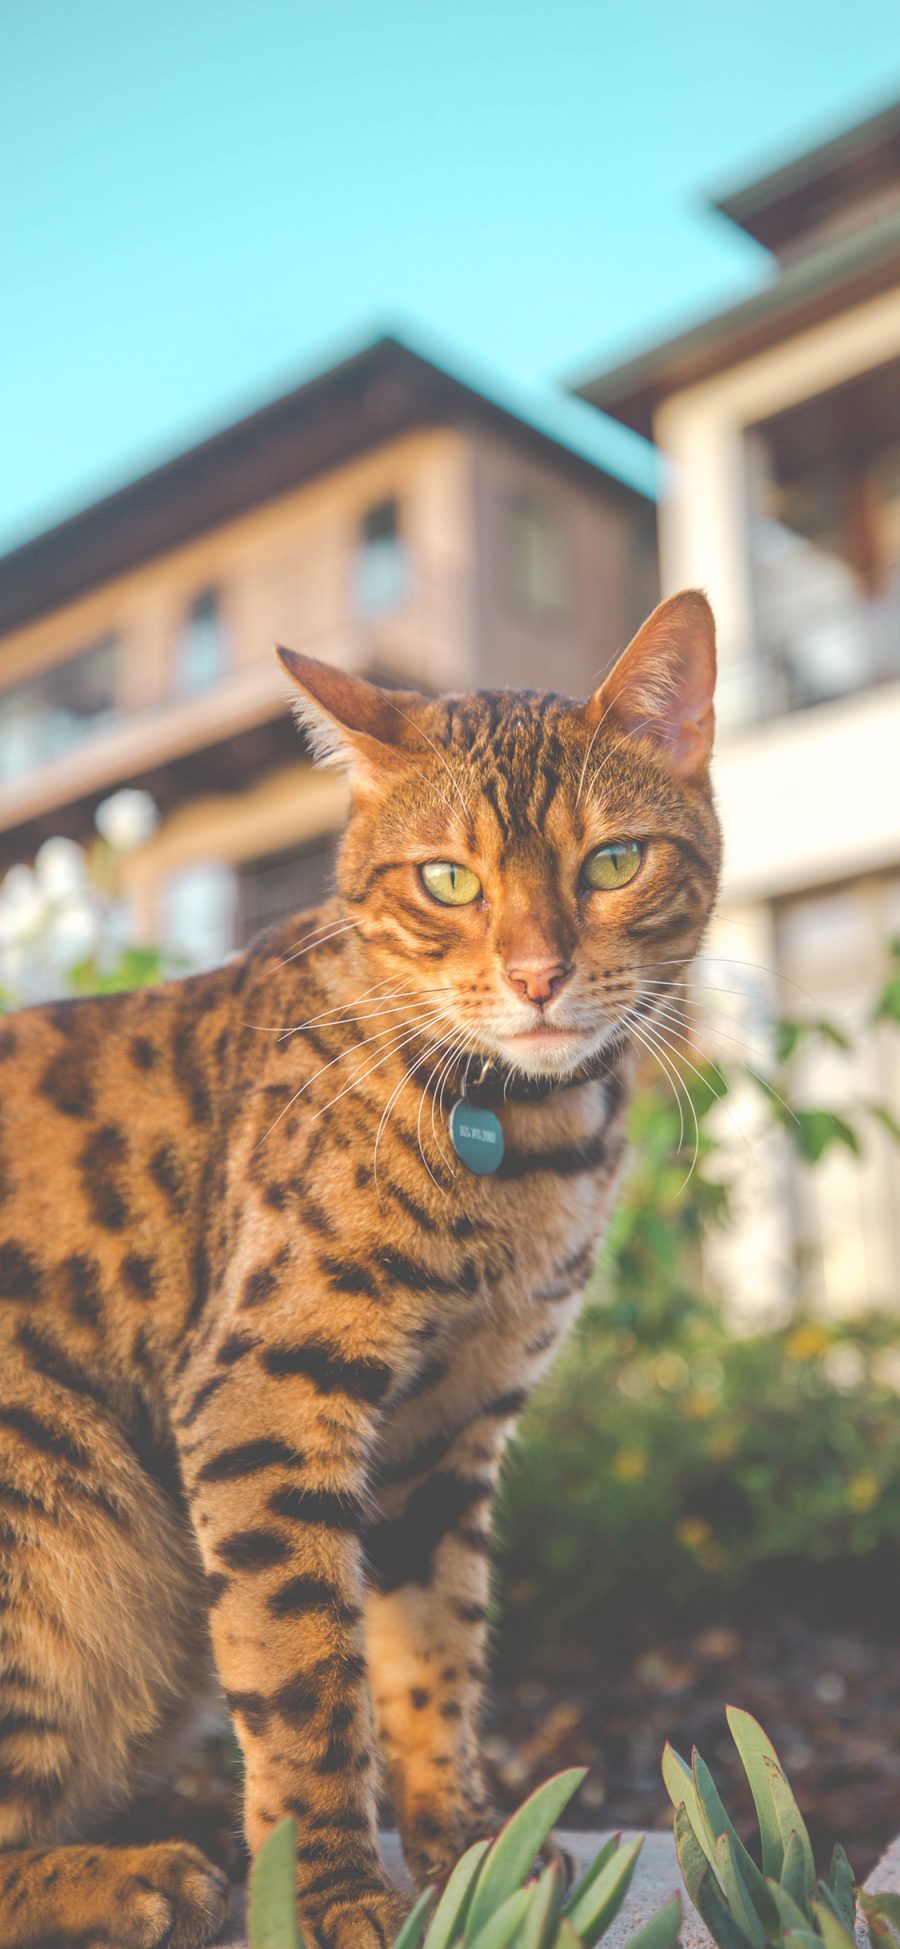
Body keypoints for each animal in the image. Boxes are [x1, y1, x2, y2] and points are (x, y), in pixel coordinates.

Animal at [0, 584, 716, 1941]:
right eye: (446, 879)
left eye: (613, 861)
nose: (537, 976)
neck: (523, 1149)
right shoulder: (266, 1394)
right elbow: (303, 1676)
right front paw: (329, 1886)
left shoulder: (449, 1426)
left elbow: (432, 1648)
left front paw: (472, 1845)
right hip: (53, 1516)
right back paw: (138, 1874)